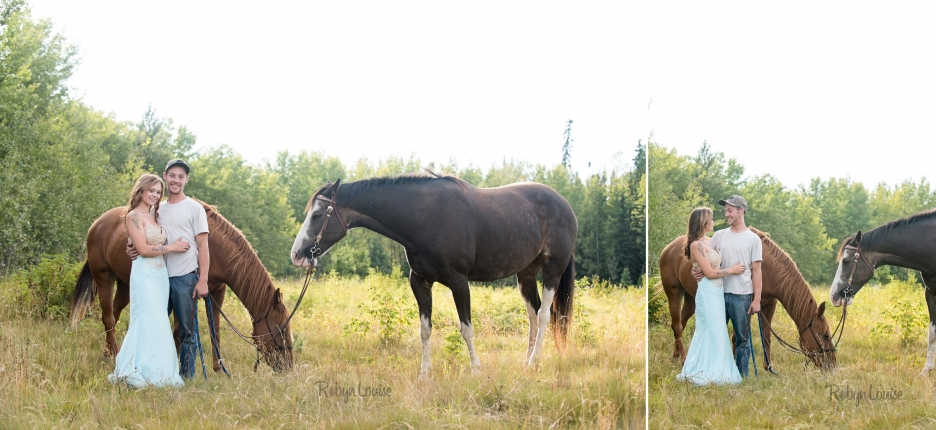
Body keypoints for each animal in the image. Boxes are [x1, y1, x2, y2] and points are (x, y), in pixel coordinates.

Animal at [69, 202, 292, 372]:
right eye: (280, 329)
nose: (288, 366)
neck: (213, 247)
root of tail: (97, 223)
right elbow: (180, 330)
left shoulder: (216, 292)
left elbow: (215, 331)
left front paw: (218, 369)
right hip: (103, 277)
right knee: (107, 317)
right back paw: (115, 355)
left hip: (124, 286)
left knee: (113, 317)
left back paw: (109, 354)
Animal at [288, 173, 576, 378]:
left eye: (317, 215)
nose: (297, 254)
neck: (425, 217)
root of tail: (565, 204)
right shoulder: (420, 282)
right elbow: (425, 330)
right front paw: (424, 374)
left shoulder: (459, 282)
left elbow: (466, 328)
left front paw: (476, 369)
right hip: (525, 274)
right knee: (533, 313)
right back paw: (527, 361)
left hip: (552, 269)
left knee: (544, 315)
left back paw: (534, 361)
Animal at [660, 227, 836, 372]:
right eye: (826, 335)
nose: (832, 365)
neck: (768, 269)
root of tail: (669, 247)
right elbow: (737, 336)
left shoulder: (769, 305)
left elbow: (766, 336)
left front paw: (768, 368)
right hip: (674, 293)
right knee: (677, 325)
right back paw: (683, 360)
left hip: (691, 299)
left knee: (680, 324)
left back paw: (677, 355)